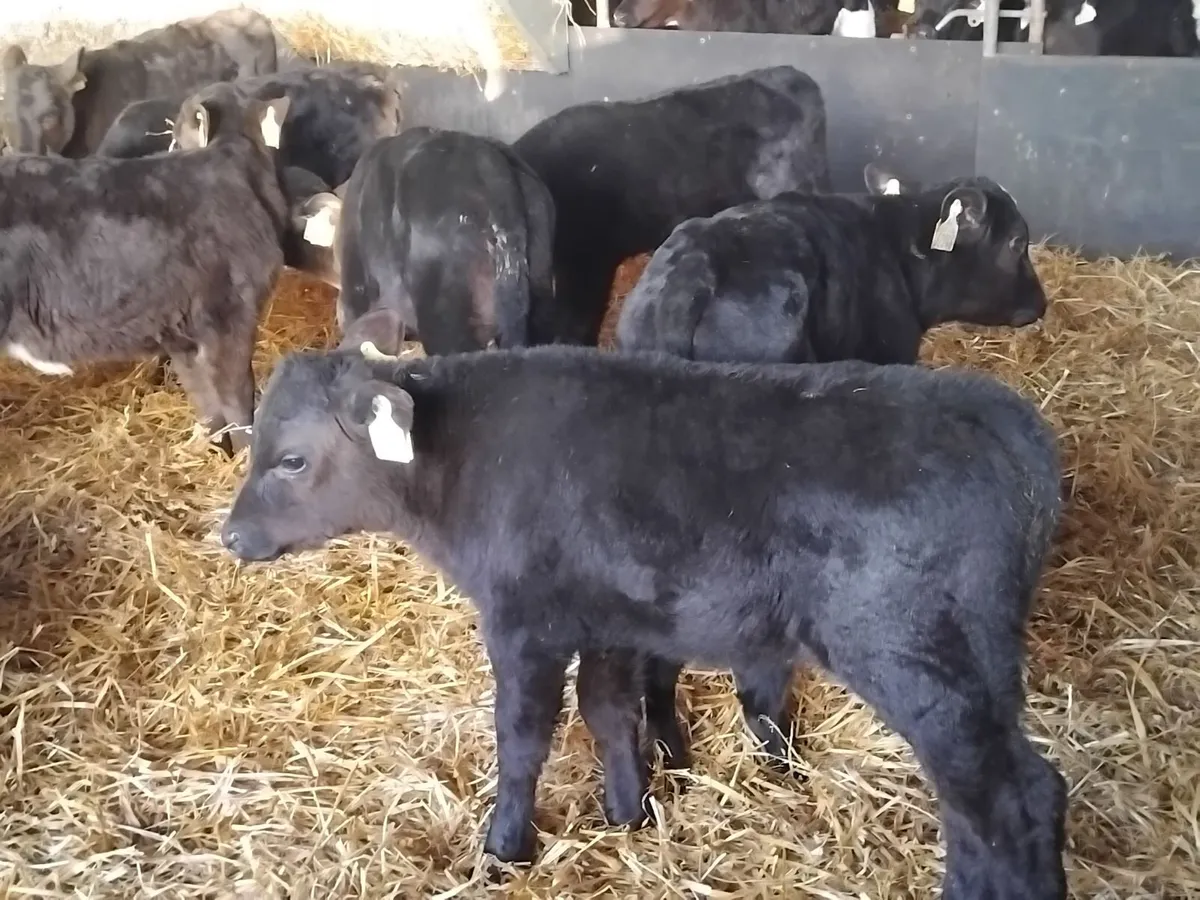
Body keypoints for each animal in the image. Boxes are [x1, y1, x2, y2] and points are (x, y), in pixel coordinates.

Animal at [220, 342, 1068, 899]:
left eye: (291, 459)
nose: (231, 536)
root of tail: (1001, 420)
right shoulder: (610, 617)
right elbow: (608, 711)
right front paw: (630, 813)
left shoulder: (523, 622)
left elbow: (523, 738)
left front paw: (504, 849)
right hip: (983, 670)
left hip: (918, 661)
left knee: (1004, 802)